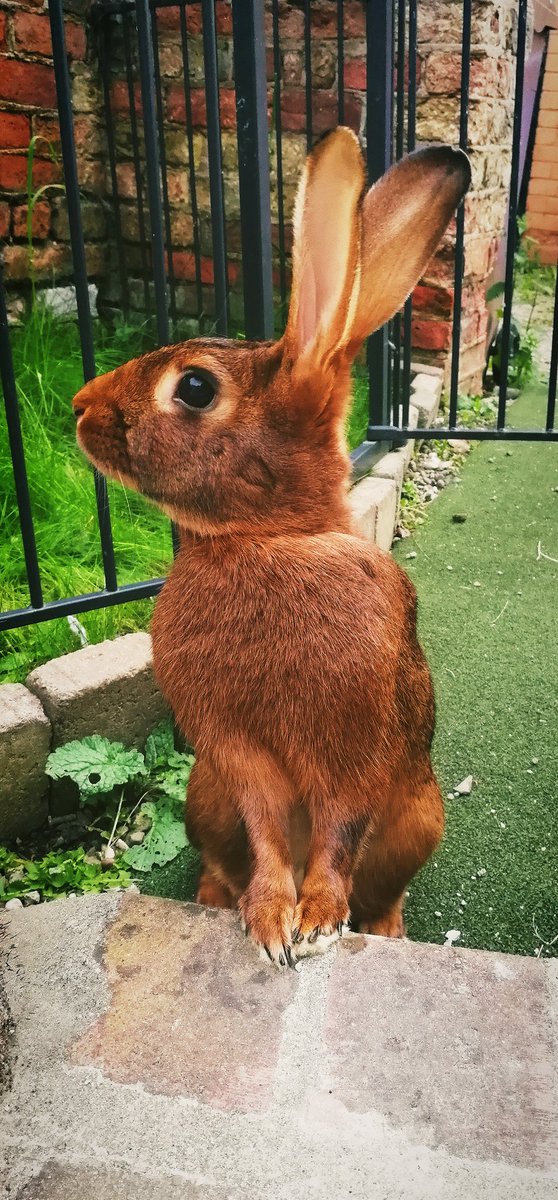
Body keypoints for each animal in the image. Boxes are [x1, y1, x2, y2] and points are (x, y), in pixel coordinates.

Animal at [73, 128, 471, 967]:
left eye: (194, 388)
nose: (80, 407)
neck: (271, 538)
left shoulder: (355, 748)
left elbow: (338, 830)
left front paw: (317, 923)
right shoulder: (234, 753)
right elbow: (266, 830)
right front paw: (269, 924)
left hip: (419, 815)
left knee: (386, 881)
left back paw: (382, 926)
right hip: (205, 796)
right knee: (225, 855)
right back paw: (214, 899)